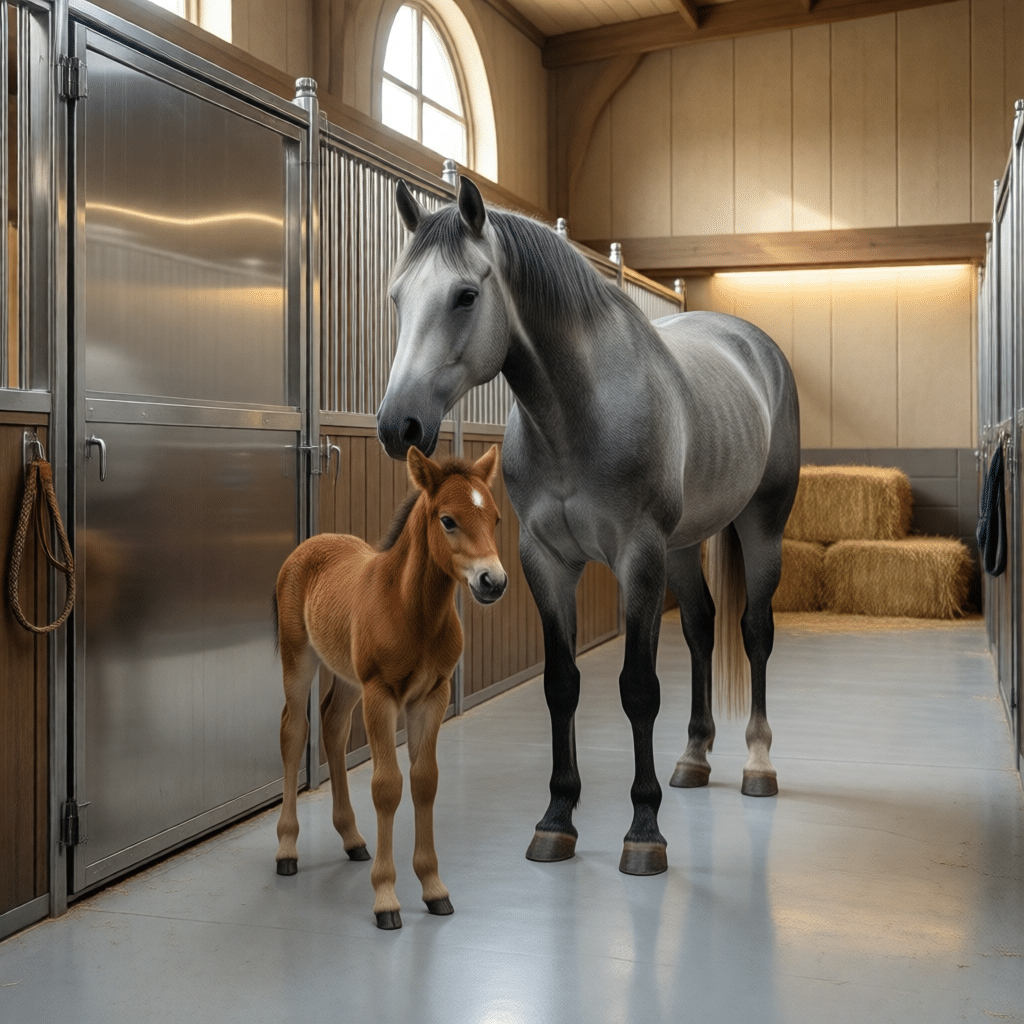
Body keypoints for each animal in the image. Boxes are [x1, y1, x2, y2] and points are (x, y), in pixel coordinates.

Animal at [273, 444, 507, 928]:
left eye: (494, 517)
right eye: (448, 520)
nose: (492, 581)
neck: (411, 609)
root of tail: (312, 543)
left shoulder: (432, 695)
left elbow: (424, 781)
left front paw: (434, 889)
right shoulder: (381, 694)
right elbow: (387, 786)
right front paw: (386, 898)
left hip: (348, 679)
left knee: (332, 726)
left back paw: (352, 839)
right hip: (299, 659)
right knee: (293, 730)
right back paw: (287, 849)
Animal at [376, 176, 801, 878]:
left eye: (465, 295)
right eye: (396, 297)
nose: (396, 426)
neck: (577, 412)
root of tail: (754, 344)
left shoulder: (638, 558)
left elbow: (638, 688)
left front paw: (644, 831)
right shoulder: (545, 561)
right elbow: (561, 685)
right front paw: (556, 819)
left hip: (761, 524)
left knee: (755, 632)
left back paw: (758, 763)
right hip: (683, 547)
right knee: (702, 628)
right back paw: (694, 757)